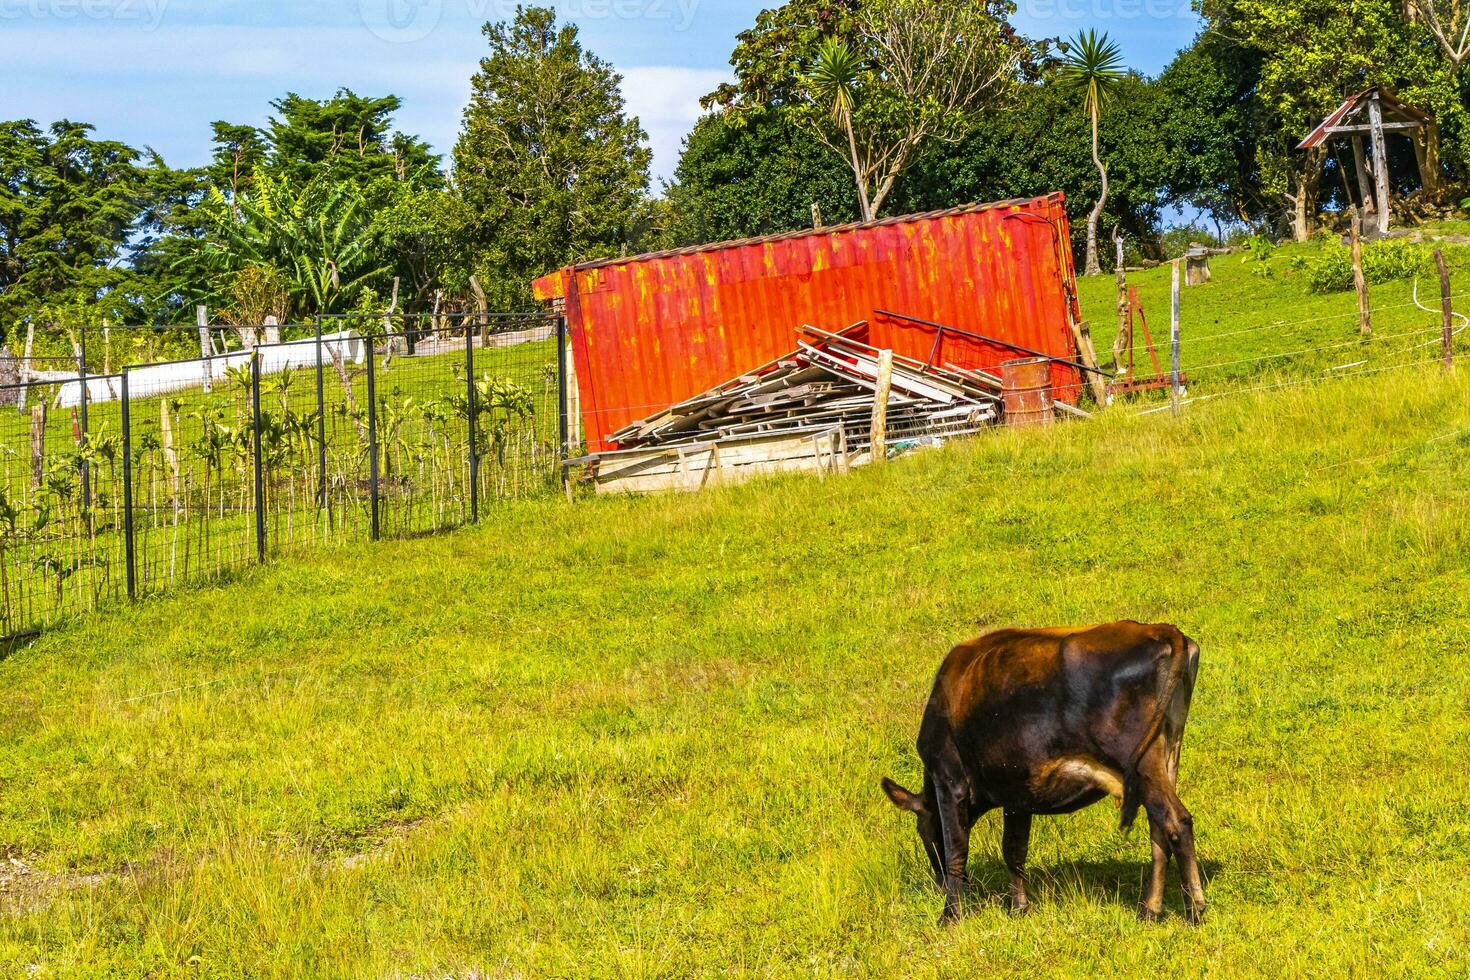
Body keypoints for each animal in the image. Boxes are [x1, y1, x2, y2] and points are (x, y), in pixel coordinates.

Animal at [882, 625, 1205, 922]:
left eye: (923, 831)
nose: (937, 883)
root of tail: (1161, 630)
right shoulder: (1016, 792)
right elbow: (1014, 850)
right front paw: (1019, 908)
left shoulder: (949, 779)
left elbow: (956, 850)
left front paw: (950, 916)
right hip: (1166, 754)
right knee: (1159, 829)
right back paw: (1151, 909)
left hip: (1140, 759)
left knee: (1176, 821)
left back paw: (1194, 909)